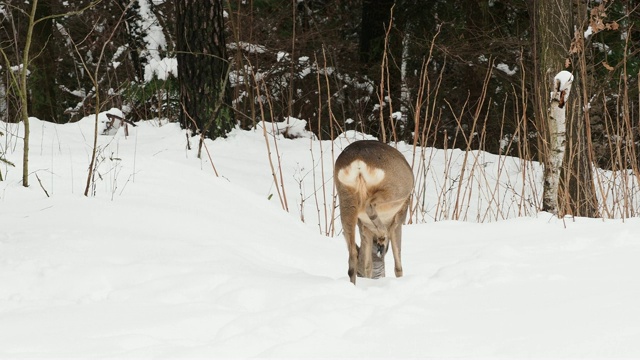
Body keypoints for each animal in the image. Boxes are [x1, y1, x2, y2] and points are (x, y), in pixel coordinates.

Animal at [336, 141, 416, 284]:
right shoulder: (398, 220)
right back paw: (382, 236)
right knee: (369, 205)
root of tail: (358, 158)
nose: (360, 275)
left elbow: (368, 265)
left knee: (352, 255)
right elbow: (398, 265)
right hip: (395, 189)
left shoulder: (364, 228)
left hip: (345, 195)